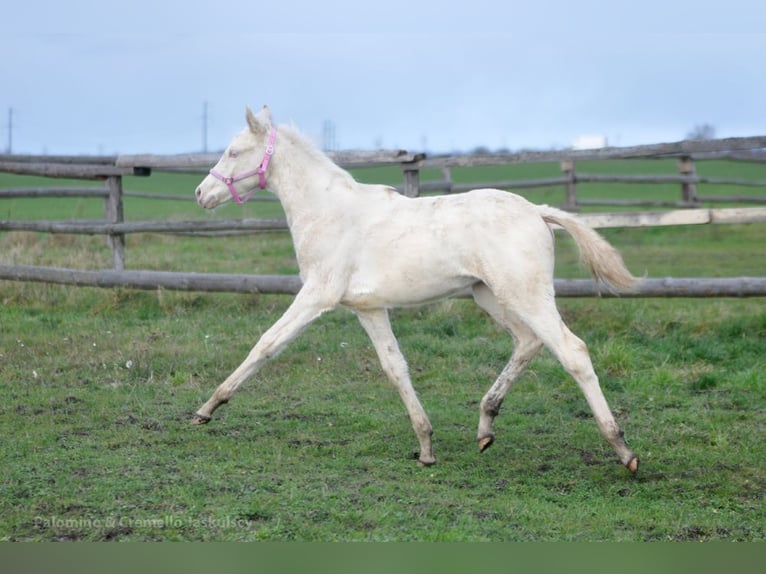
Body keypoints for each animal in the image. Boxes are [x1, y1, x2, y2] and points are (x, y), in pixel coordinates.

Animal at [193, 105, 640, 473]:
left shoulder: (318, 294)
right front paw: (425, 447)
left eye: (233, 152)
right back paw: (485, 428)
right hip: (490, 295)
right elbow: (396, 368)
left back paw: (623, 450)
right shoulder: (368, 308)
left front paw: (206, 409)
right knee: (528, 342)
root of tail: (536, 211)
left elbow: (266, 344)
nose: (200, 194)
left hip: (524, 294)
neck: (328, 212)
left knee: (572, 351)